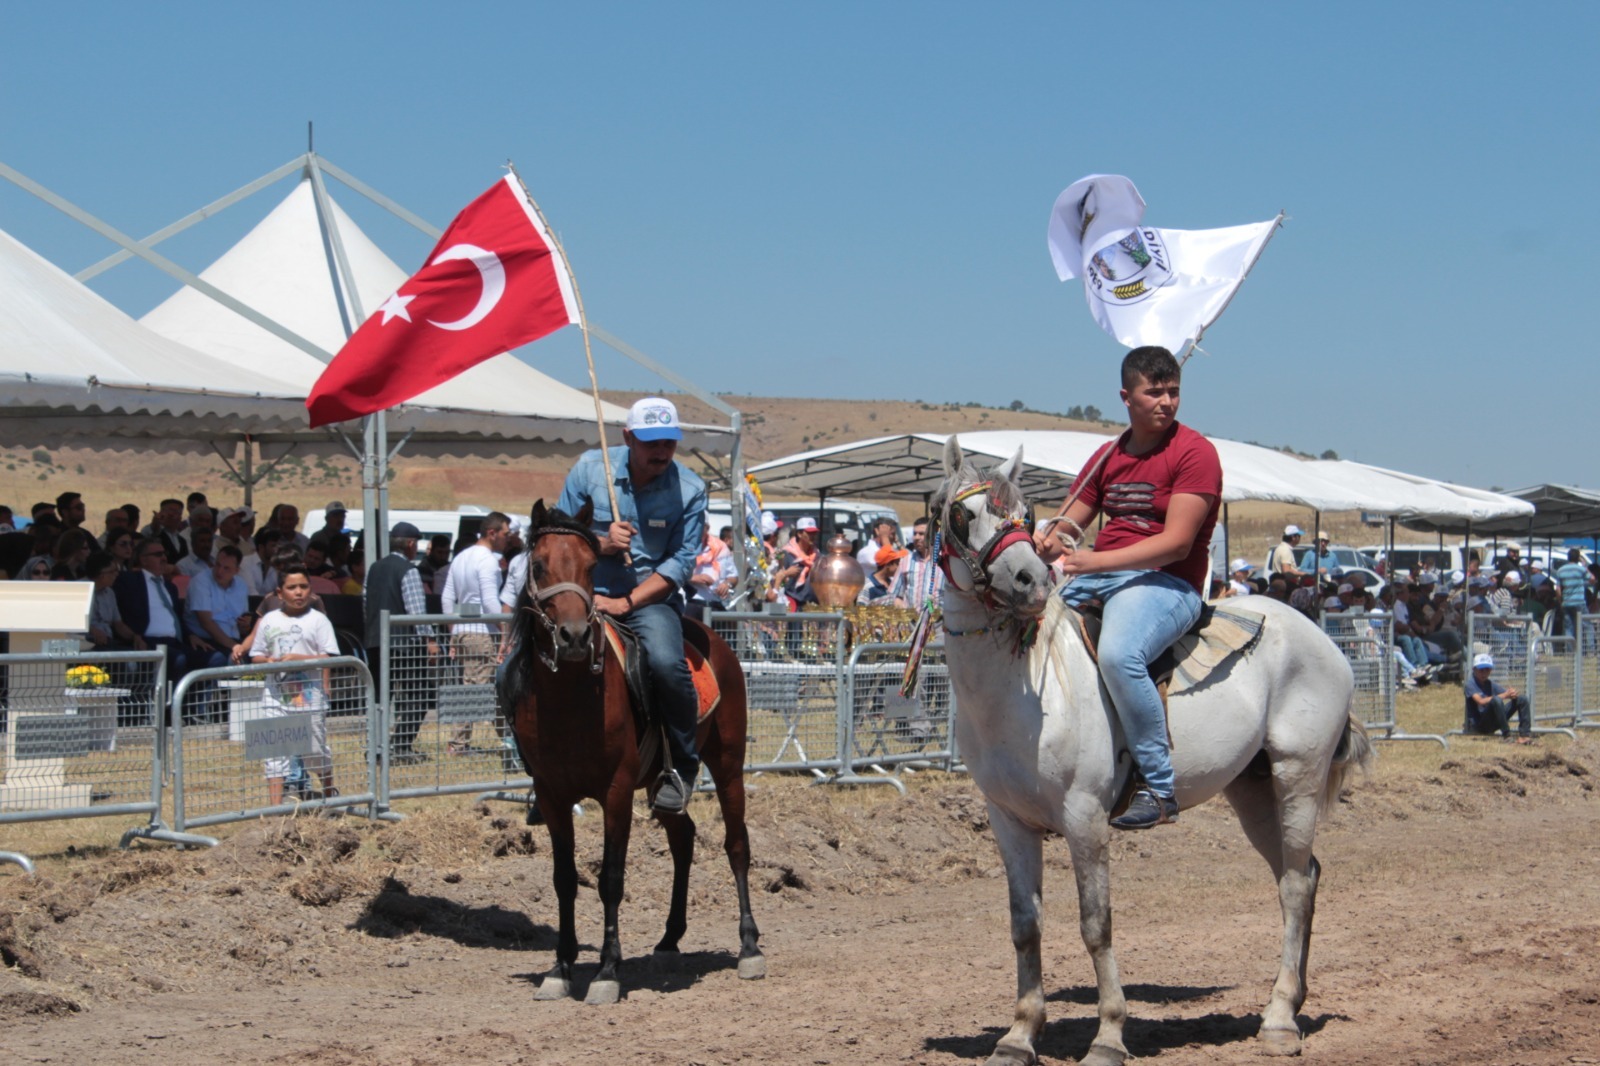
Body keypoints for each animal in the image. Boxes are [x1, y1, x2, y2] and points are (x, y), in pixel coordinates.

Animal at [505, 502, 768, 998]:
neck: (570, 702)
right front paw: (560, 969)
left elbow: (611, 878)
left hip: (728, 765)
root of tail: (711, 636)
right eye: (538, 565)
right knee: (683, 838)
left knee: (737, 845)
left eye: (591, 567)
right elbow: (564, 879)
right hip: (663, 783)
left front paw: (607, 971)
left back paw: (749, 947)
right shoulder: (551, 794)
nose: (573, 636)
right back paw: (669, 939)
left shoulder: (617, 790)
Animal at [934, 435, 1376, 1056]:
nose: (1030, 578)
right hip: (1252, 790)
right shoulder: (1009, 821)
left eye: (1024, 515)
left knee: (1293, 885)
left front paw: (1108, 1036)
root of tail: (1322, 638)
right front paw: (1019, 1035)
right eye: (963, 514)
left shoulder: (1085, 818)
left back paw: (1279, 1021)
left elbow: (1096, 924)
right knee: (1305, 875)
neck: (1029, 686)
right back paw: (1291, 1001)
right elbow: (1025, 925)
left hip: (1298, 777)